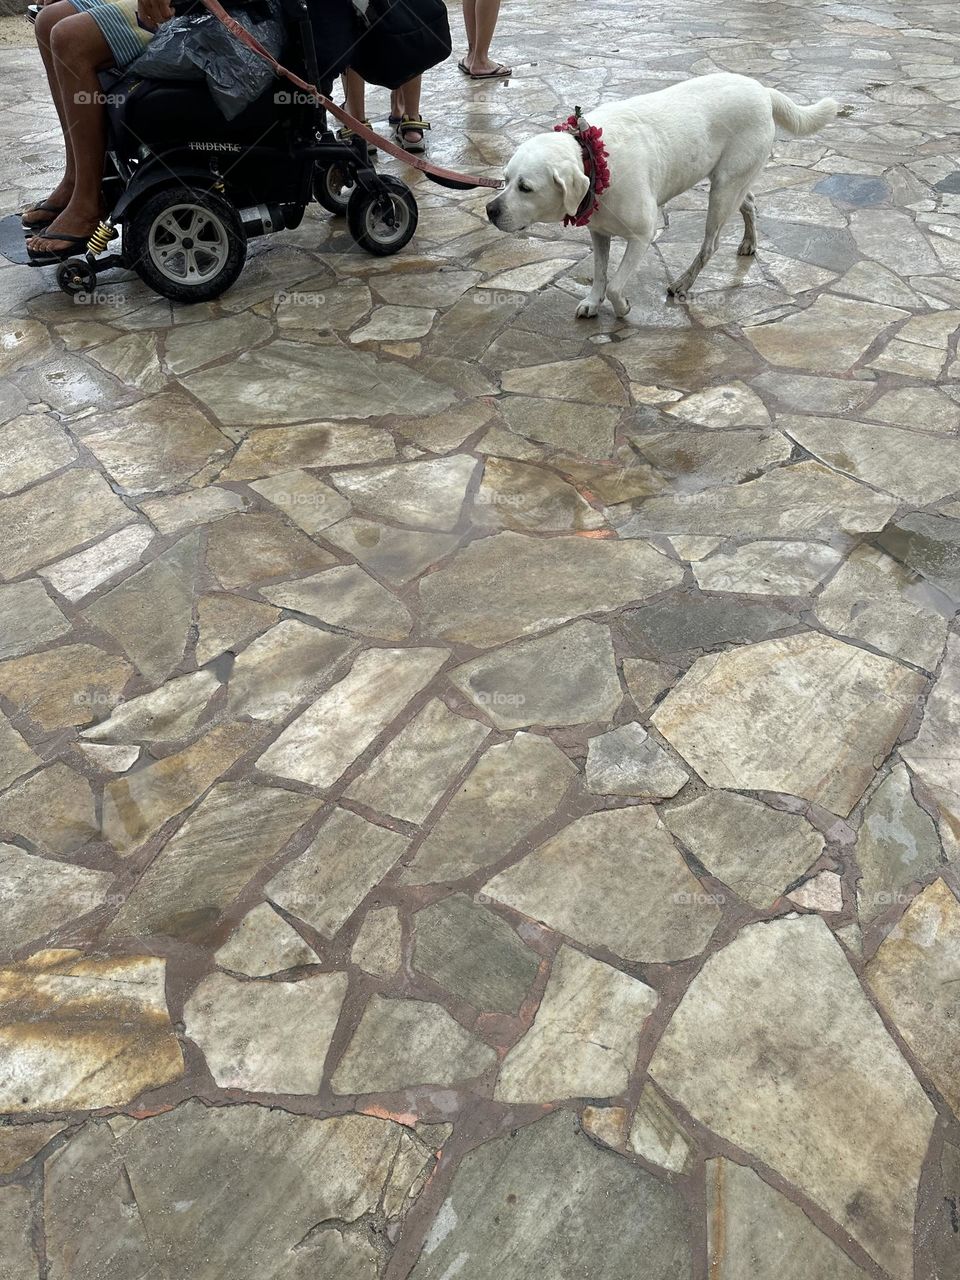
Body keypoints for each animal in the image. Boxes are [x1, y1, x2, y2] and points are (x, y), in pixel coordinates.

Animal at [488, 73, 839, 317]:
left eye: (526, 187)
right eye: (505, 179)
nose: (491, 209)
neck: (591, 159)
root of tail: (763, 91)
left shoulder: (643, 235)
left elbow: (615, 284)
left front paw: (622, 308)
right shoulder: (599, 232)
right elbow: (600, 274)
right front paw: (592, 301)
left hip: (722, 191)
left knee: (710, 244)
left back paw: (683, 282)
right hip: (733, 181)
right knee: (749, 203)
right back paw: (749, 242)